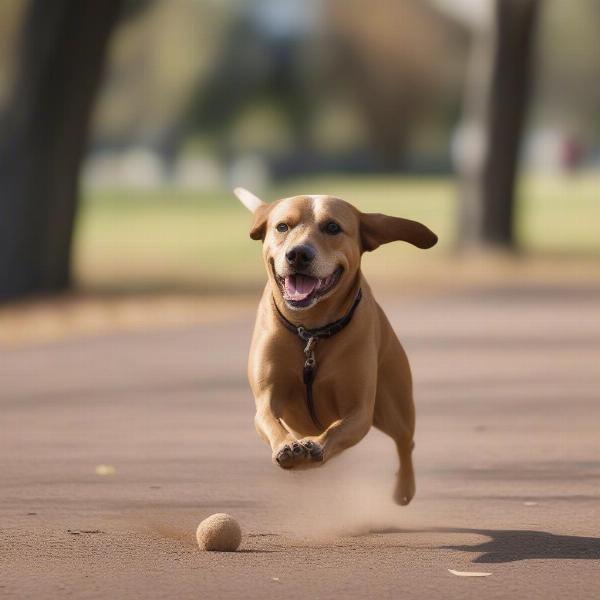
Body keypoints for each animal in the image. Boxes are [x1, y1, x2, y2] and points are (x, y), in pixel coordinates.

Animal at [234, 188, 436, 506]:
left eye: (332, 227)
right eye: (282, 226)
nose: (298, 254)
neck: (311, 332)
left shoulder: (360, 410)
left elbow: (338, 427)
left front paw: (316, 446)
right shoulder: (267, 396)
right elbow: (268, 418)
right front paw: (288, 448)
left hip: (395, 405)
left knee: (406, 441)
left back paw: (404, 489)